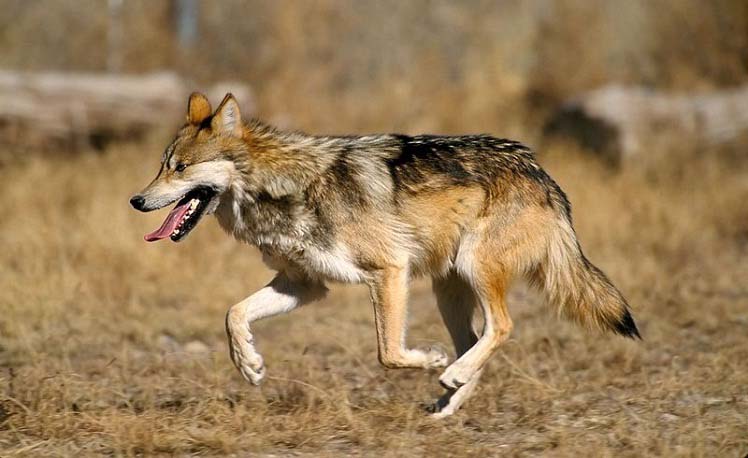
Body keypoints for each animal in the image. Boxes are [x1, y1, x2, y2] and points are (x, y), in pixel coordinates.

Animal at [130, 93, 640, 417]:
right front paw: (249, 365)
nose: (136, 200)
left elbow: (388, 353)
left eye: (180, 168)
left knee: (501, 327)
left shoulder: (389, 270)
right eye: (161, 166)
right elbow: (233, 314)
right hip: (447, 290)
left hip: (473, 270)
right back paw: (448, 401)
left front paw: (429, 360)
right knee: (476, 340)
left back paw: (449, 374)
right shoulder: (304, 284)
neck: (284, 187)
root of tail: (541, 172)